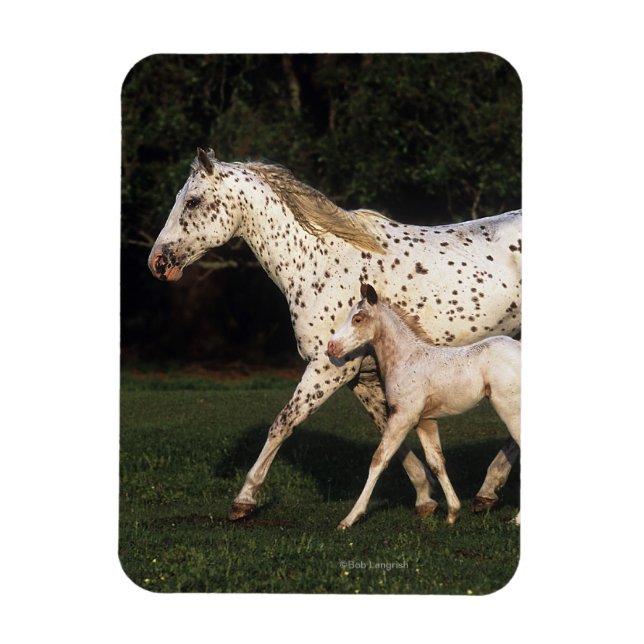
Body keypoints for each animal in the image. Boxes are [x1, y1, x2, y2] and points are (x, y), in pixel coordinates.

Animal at [327, 283, 521, 527]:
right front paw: (452, 513)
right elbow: (436, 462)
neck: (407, 358)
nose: (331, 347)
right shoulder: (425, 420)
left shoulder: (403, 416)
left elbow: (379, 459)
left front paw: (350, 518)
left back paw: (517, 519)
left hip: (509, 409)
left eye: (358, 318)